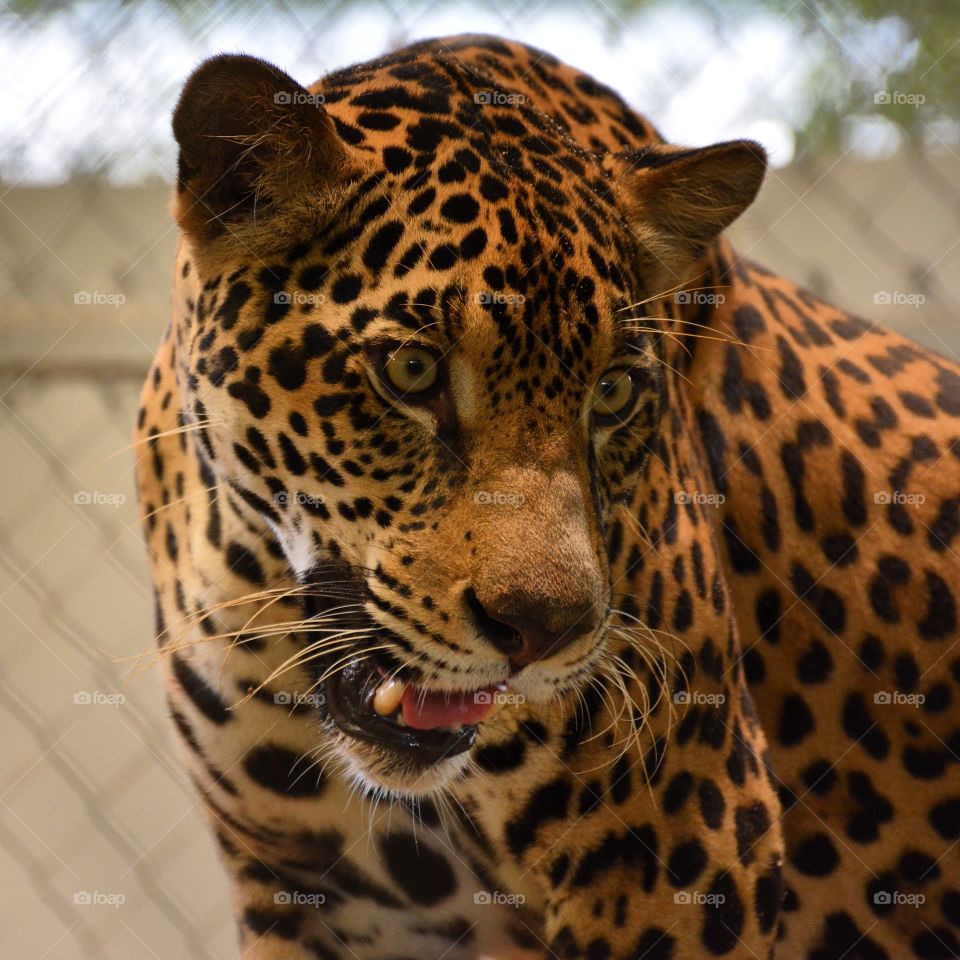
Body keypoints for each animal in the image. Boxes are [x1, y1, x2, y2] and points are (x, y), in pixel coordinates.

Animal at [135, 33, 960, 960]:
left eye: (613, 393)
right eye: (410, 371)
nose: (543, 630)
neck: (260, 583)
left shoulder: (680, 853)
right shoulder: (304, 889)